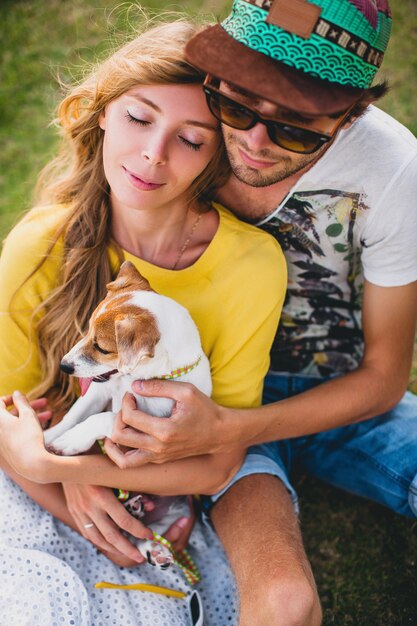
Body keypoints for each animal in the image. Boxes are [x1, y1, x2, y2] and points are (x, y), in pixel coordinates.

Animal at [44, 260, 211, 568]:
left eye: (101, 347)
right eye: (87, 330)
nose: (64, 366)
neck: (135, 378)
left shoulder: (154, 433)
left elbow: (105, 418)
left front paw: (69, 442)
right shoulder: (98, 392)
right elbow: (76, 414)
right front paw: (51, 435)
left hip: (179, 508)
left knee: (147, 532)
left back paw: (153, 545)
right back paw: (138, 512)